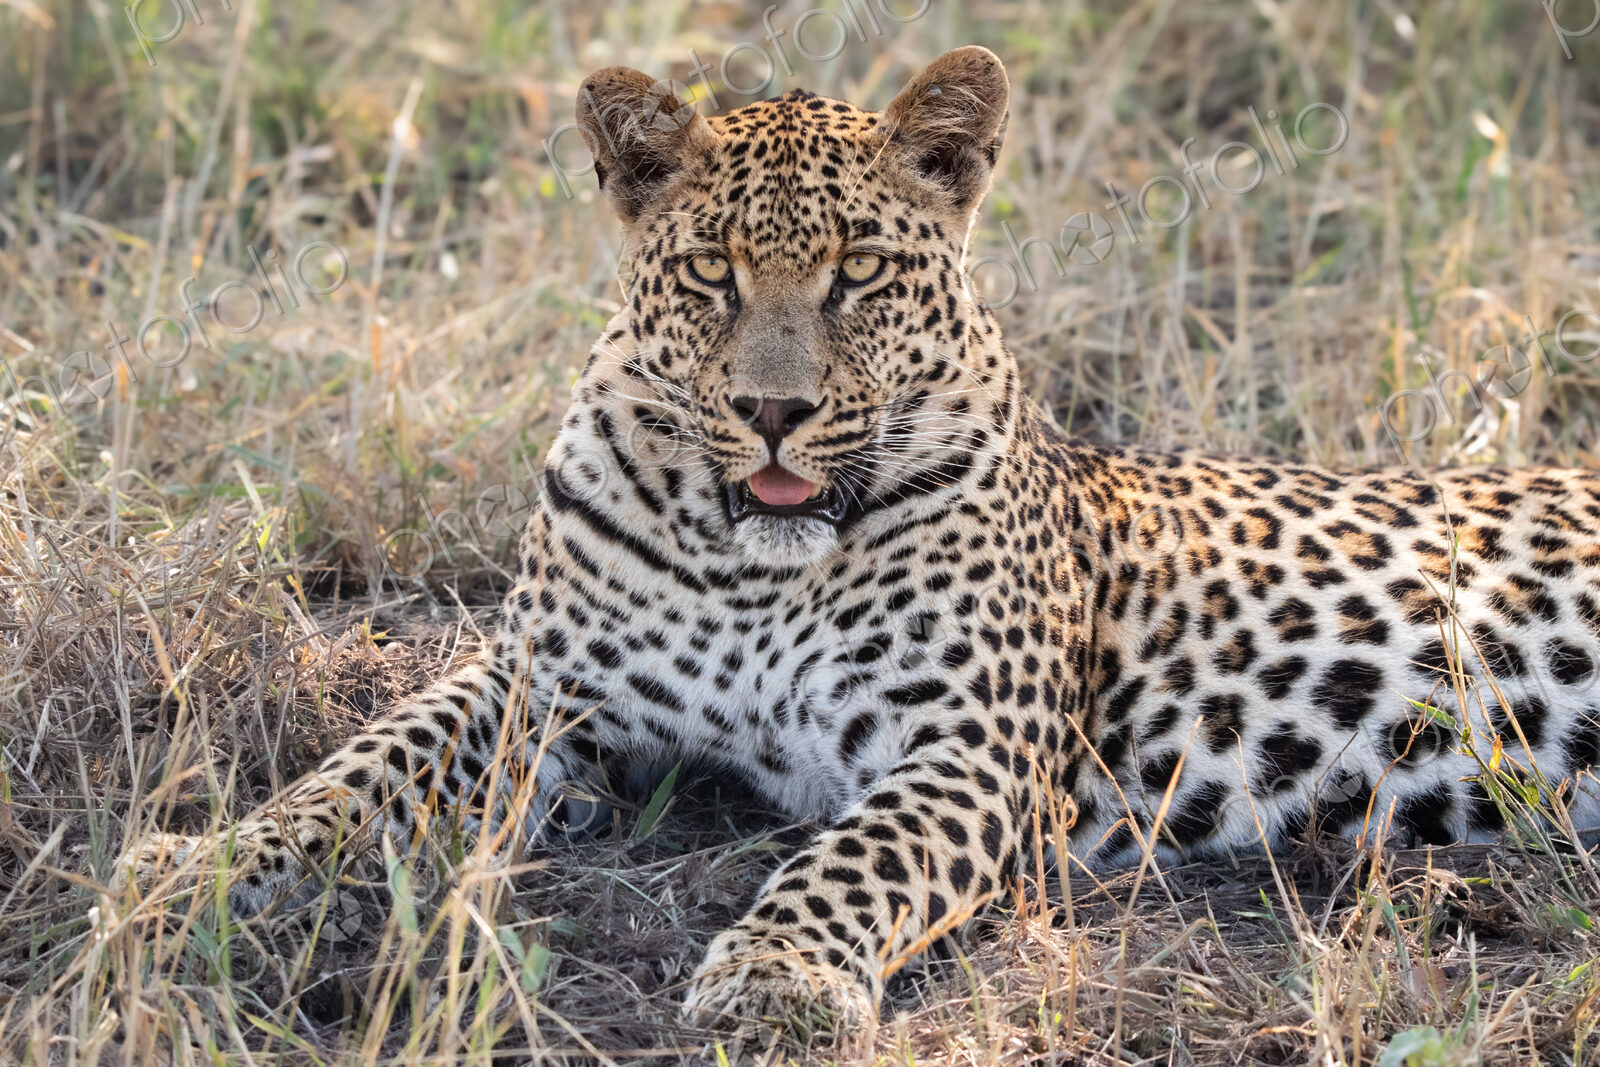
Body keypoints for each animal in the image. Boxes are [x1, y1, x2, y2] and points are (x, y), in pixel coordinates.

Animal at [123, 46, 1600, 1039]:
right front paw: (196, 869)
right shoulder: (540, 684)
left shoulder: (969, 740)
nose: (773, 410)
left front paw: (774, 976)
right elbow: (360, 762)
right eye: (712, 271)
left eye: (860, 275)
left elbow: (852, 855)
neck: (746, 568)